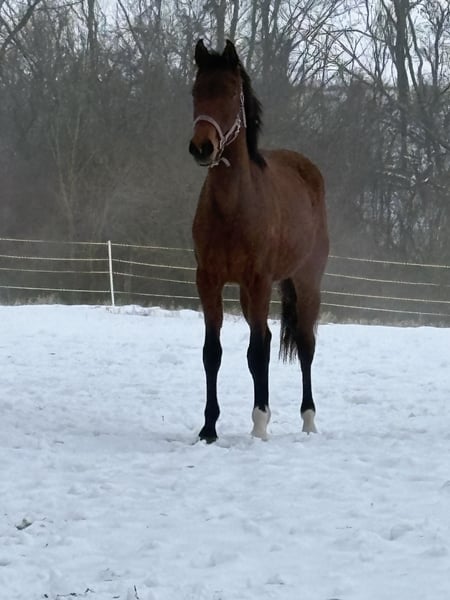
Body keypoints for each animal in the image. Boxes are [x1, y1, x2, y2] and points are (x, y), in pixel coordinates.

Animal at [189, 39, 329, 442]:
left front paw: (260, 425)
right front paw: (209, 428)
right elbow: (213, 352)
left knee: (305, 345)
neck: (234, 207)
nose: (202, 147)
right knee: (267, 337)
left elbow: (258, 352)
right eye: (196, 92)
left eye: (230, 92)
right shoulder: (209, 280)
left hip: (305, 282)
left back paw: (308, 420)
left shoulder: (259, 279)